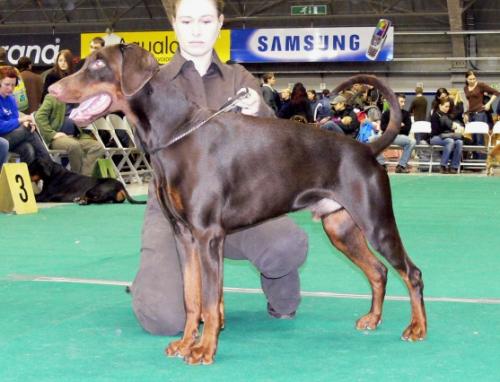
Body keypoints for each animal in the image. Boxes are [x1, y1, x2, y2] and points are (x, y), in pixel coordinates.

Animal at [49, 44, 426, 364]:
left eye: (99, 63)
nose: (53, 90)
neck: (175, 133)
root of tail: (366, 148)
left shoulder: (207, 236)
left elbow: (209, 301)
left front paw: (204, 350)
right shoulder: (184, 237)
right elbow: (192, 298)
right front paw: (186, 343)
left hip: (375, 222)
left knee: (411, 273)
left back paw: (417, 328)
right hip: (340, 227)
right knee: (378, 271)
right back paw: (373, 319)